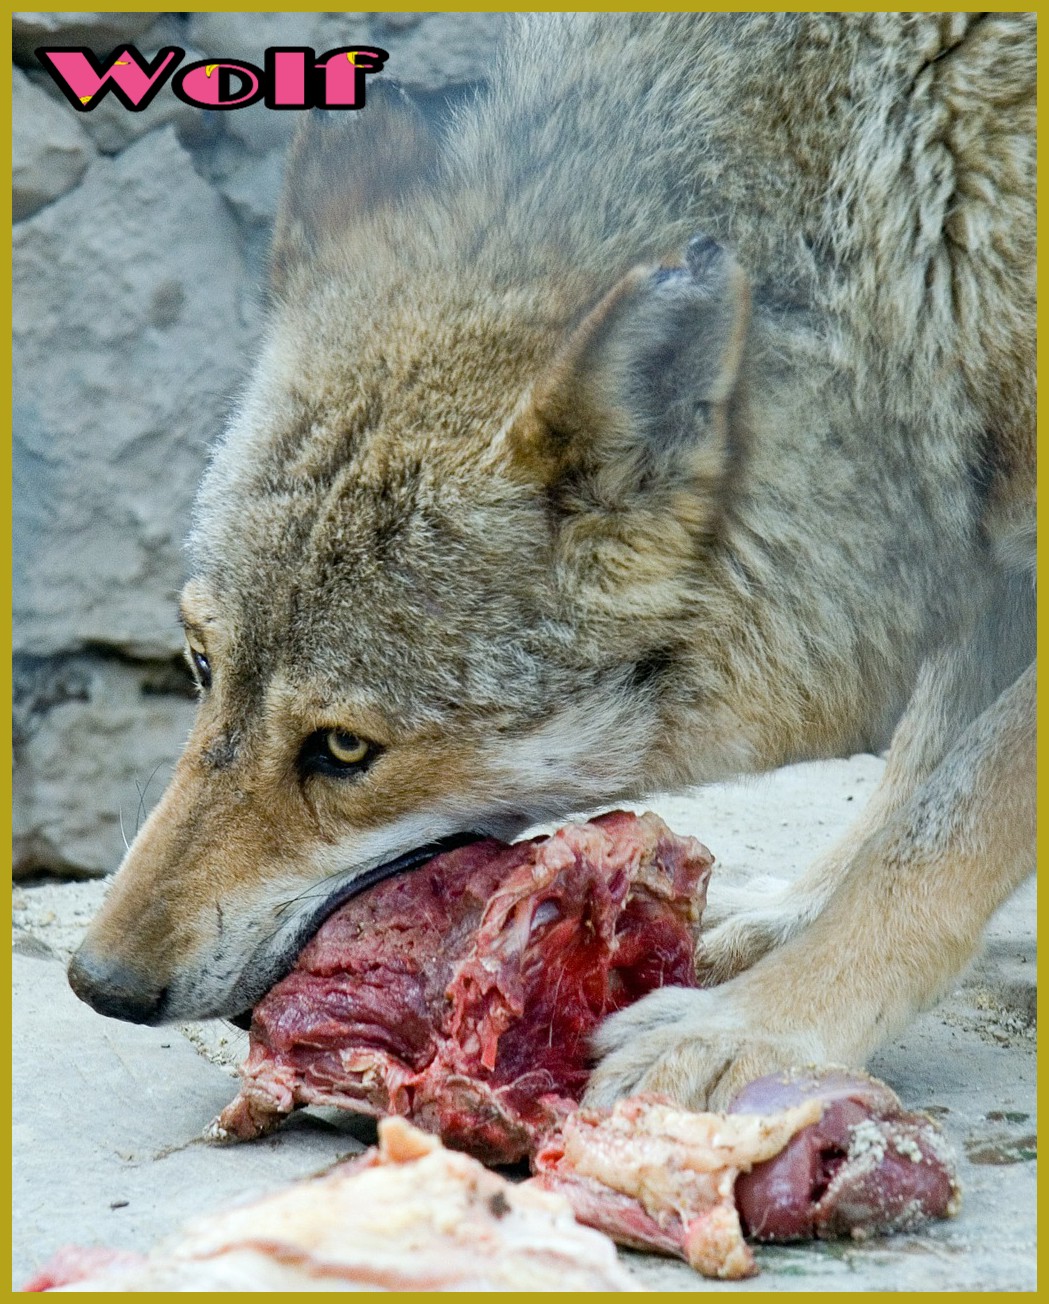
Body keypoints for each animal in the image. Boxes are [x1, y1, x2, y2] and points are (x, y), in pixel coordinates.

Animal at [68, 12, 1034, 1110]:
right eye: (200, 665)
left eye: (345, 749)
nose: (99, 982)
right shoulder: (975, 534)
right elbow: (914, 782)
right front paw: (788, 918)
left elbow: (945, 826)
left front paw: (761, 1025)